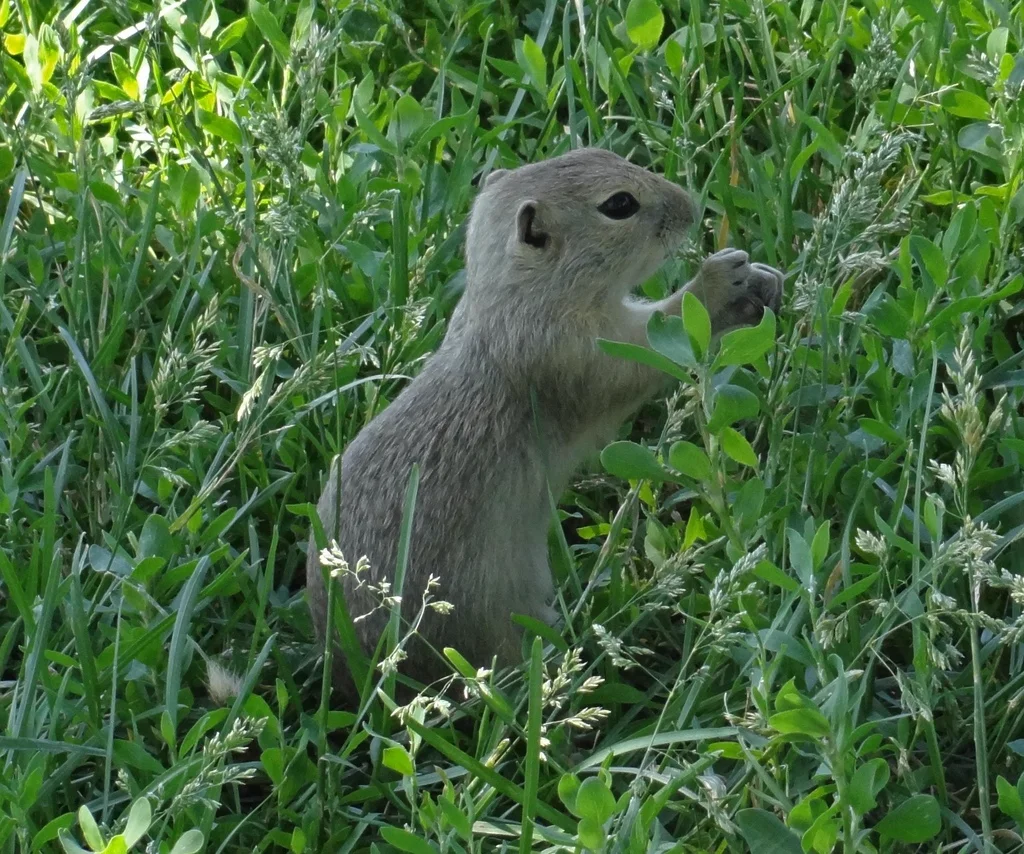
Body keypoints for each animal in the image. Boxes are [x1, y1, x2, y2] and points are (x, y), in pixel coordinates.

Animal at [306, 148, 784, 695]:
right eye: (619, 205)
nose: (688, 205)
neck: (510, 298)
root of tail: (357, 677)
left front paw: (762, 282)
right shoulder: (569, 352)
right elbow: (642, 351)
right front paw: (719, 285)